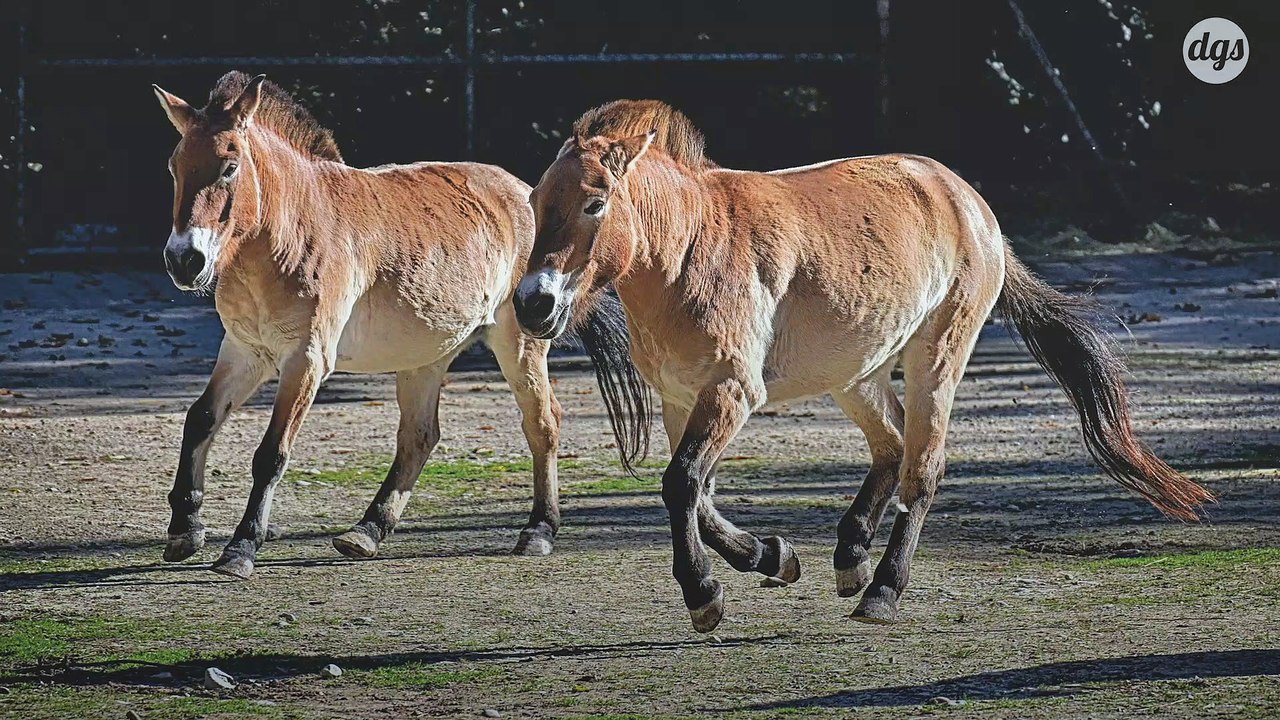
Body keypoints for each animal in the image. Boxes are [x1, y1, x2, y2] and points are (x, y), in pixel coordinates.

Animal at [151, 71, 578, 578]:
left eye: (229, 167)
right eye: (174, 166)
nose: (184, 260)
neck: (288, 232)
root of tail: (524, 194)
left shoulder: (306, 360)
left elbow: (271, 453)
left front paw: (241, 548)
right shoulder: (245, 351)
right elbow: (200, 419)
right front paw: (184, 529)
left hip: (518, 343)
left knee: (543, 423)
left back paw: (539, 530)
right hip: (425, 356)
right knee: (419, 436)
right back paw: (366, 532)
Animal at [513, 99, 1214, 632]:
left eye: (596, 201)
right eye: (537, 199)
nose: (533, 303)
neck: (690, 249)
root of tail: (971, 205)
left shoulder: (733, 392)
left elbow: (681, 485)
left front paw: (705, 595)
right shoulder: (682, 398)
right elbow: (696, 493)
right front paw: (773, 556)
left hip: (935, 359)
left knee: (922, 468)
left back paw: (882, 590)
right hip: (856, 374)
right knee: (892, 446)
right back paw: (850, 556)